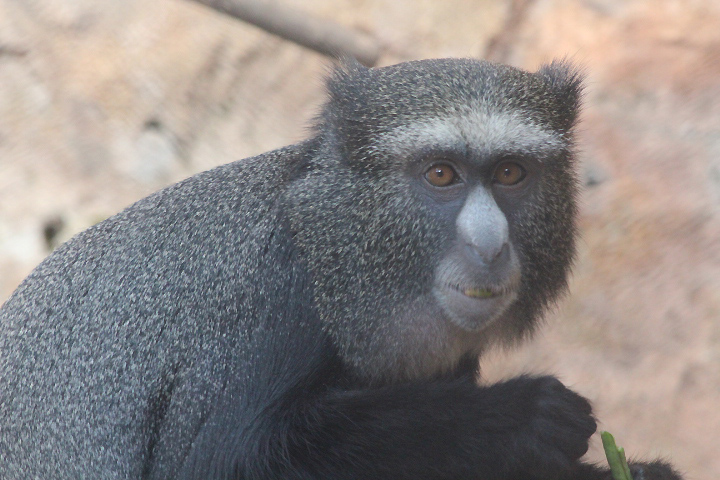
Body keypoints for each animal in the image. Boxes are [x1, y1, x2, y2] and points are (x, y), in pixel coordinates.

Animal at [0, 58, 682, 480]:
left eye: (511, 173)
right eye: (441, 174)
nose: (490, 244)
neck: (335, 242)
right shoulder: (274, 294)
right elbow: (223, 460)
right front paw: (520, 417)